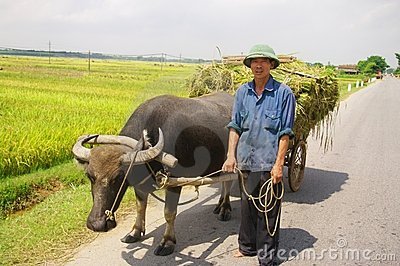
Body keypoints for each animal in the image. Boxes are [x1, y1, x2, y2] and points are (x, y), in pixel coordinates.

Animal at [72, 91, 234, 256]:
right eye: (90, 176)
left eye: (119, 178)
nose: (96, 224)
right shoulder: (140, 184)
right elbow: (140, 207)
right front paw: (134, 232)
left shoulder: (175, 181)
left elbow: (169, 212)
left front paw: (167, 242)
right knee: (224, 181)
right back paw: (219, 205)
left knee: (229, 182)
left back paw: (225, 209)